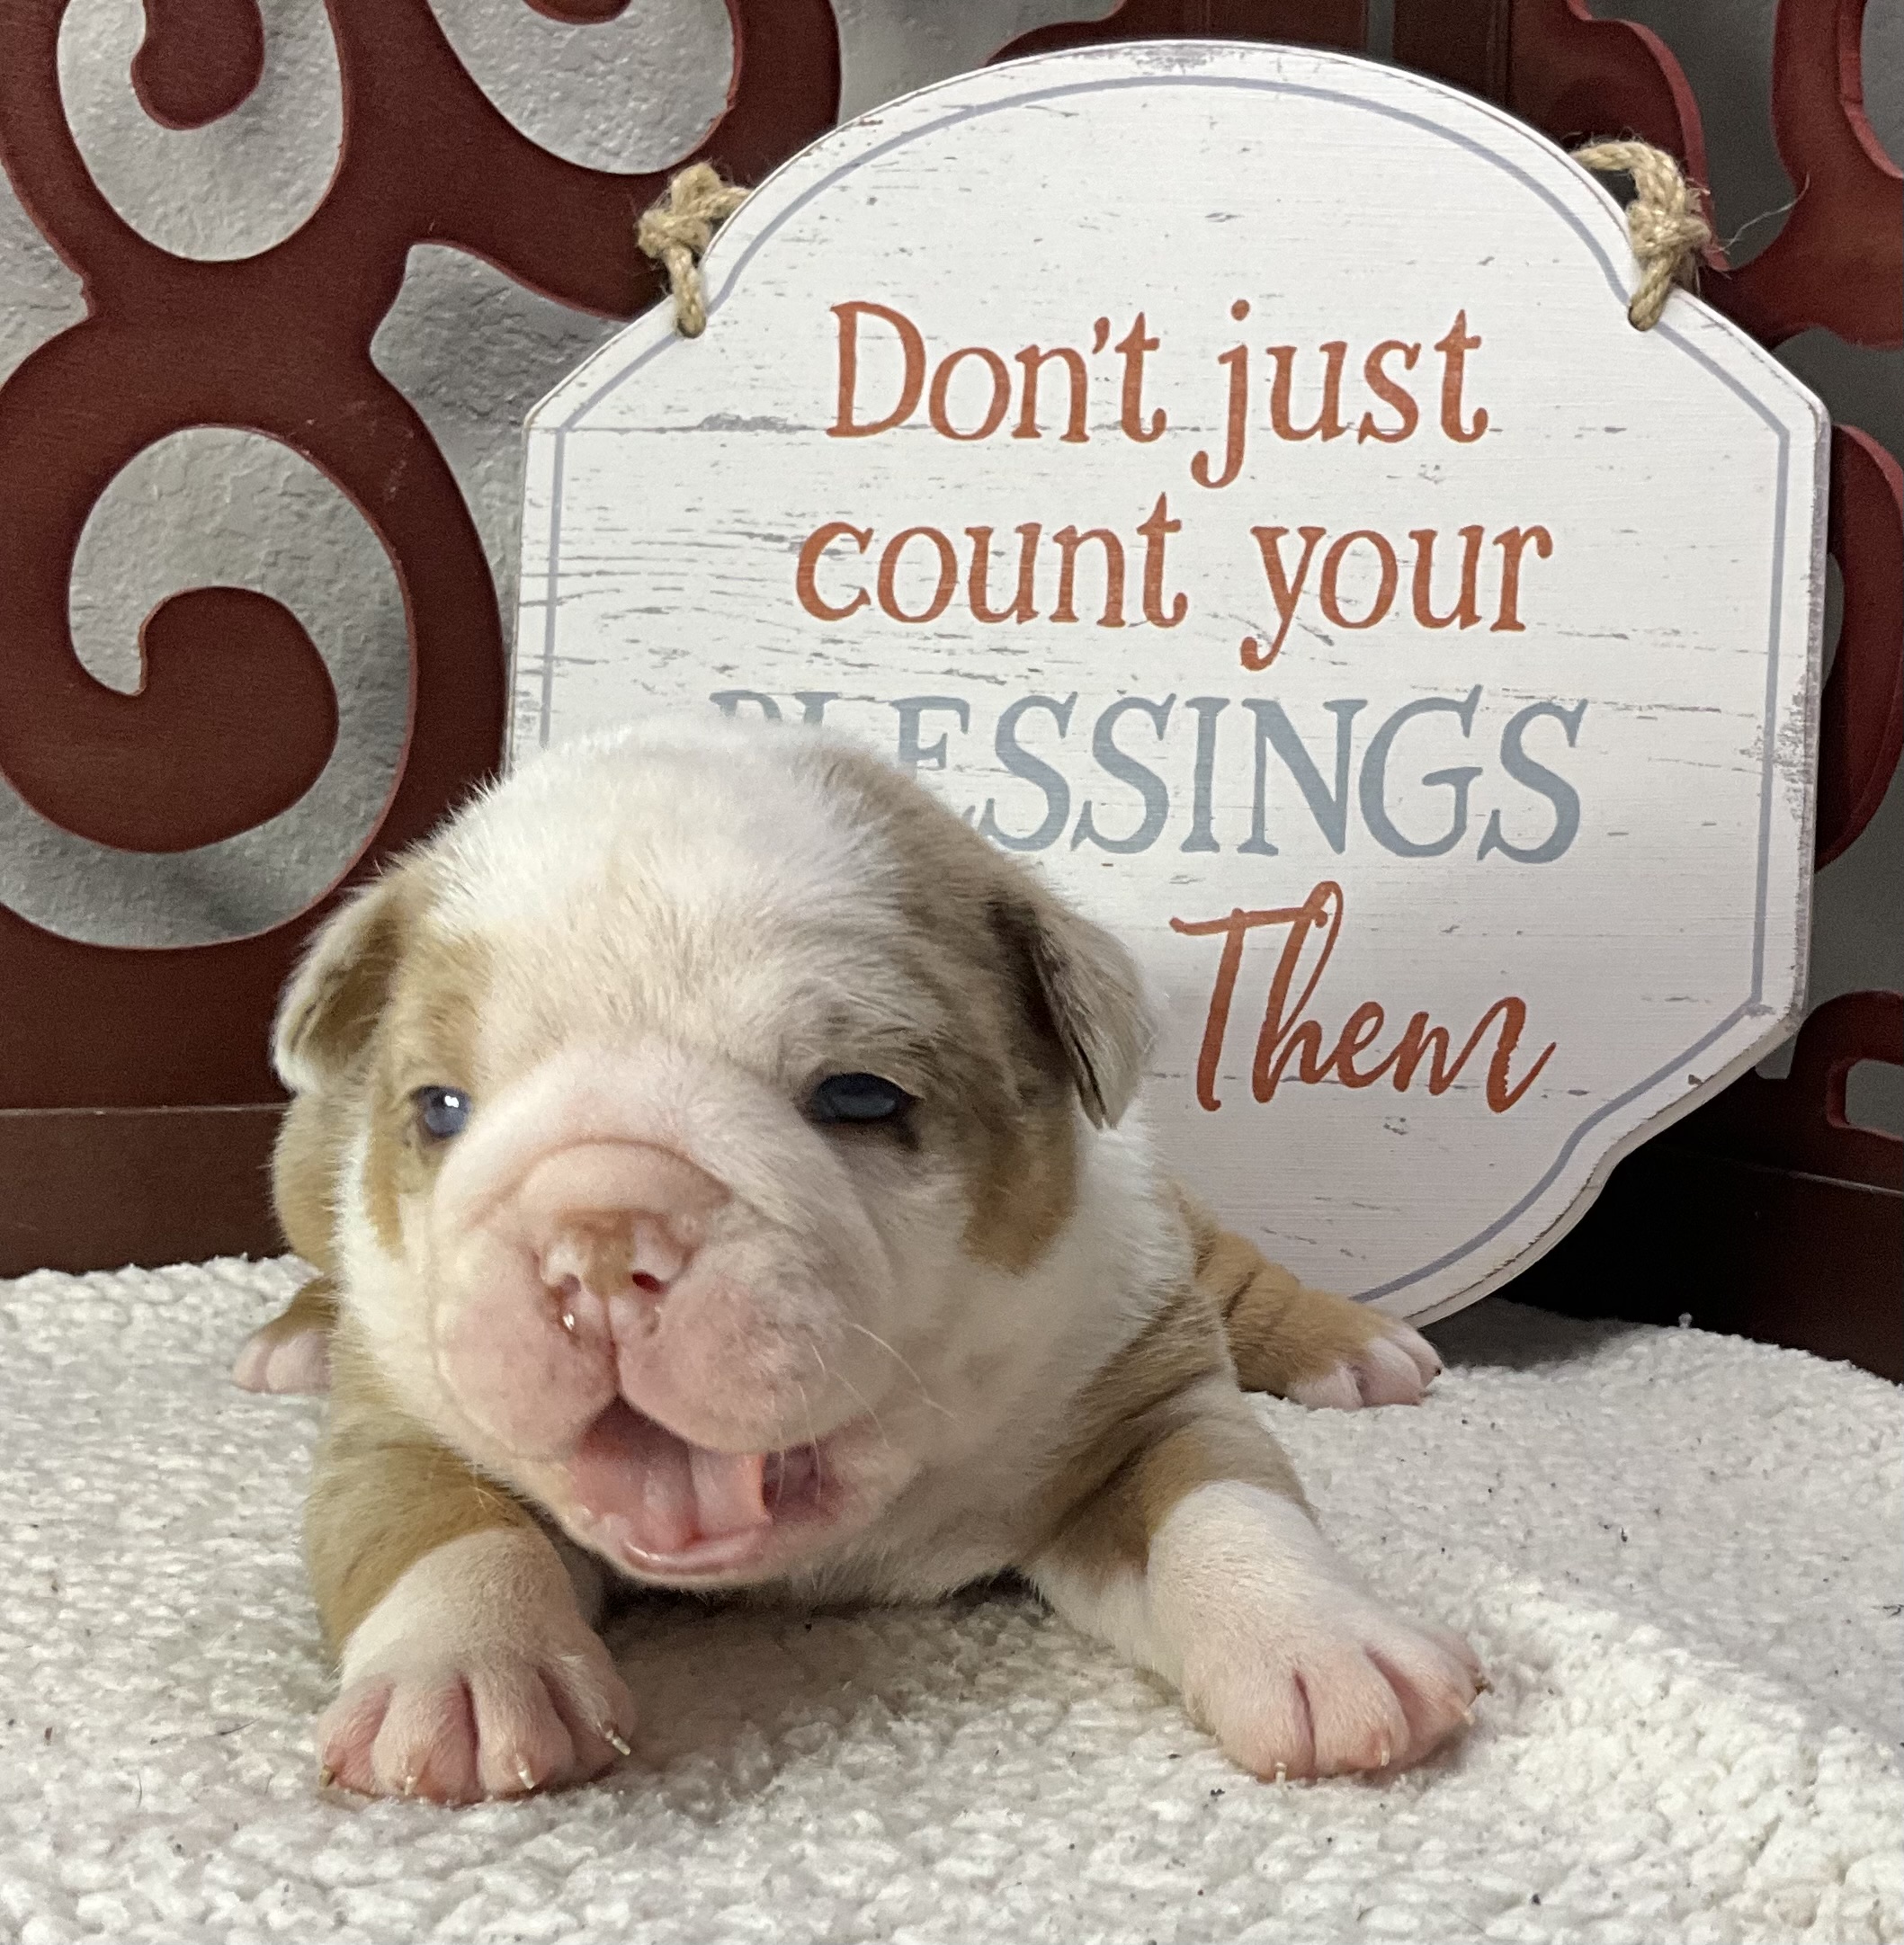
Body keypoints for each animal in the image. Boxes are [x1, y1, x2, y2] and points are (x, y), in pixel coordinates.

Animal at [239, 717, 1478, 1802]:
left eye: (859, 1098)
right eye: (441, 1109)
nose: (598, 1238)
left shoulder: (1138, 1400)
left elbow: (1224, 1502)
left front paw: (1320, 1646)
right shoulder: (400, 1424)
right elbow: (438, 1527)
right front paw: (459, 1682)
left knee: (1230, 1262)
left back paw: (1347, 1343)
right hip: (301, 1161)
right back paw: (295, 1337)